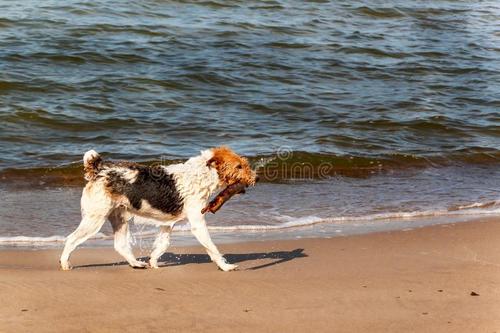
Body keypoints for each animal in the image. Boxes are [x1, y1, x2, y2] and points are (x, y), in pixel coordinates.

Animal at [59, 147, 258, 272]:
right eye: (239, 166)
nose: (256, 177)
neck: (202, 174)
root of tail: (98, 170)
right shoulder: (197, 223)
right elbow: (212, 248)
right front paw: (226, 267)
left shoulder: (167, 224)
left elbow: (161, 246)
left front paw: (153, 262)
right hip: (94, 219)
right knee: (71, 239)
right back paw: (65, 264)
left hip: (119, 218)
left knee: (120, 245)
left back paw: (137, 264)